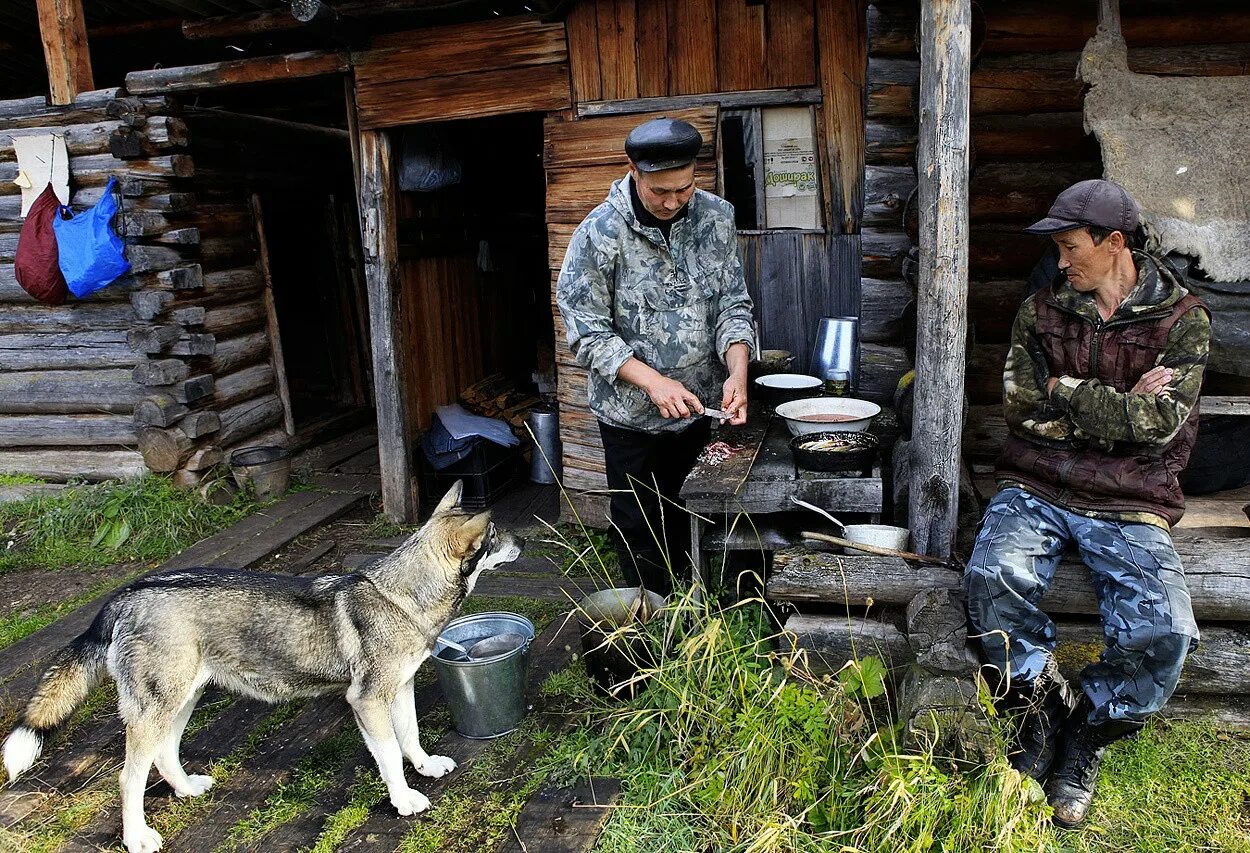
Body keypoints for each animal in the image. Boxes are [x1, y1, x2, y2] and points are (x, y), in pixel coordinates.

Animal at [2, 477, 520, 850]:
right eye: (495, 536)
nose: (521, 540)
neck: (403, 595)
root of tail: (126, 594)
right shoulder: (367, 700)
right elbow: (390, 755)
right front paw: (405, 799)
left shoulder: (401, 689)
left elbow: (409, 737)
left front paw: (425, 767)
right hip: (156, 709)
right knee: (130, 777)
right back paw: (137, 838)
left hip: (182, 700)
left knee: (165, 755)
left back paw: (185, 789)